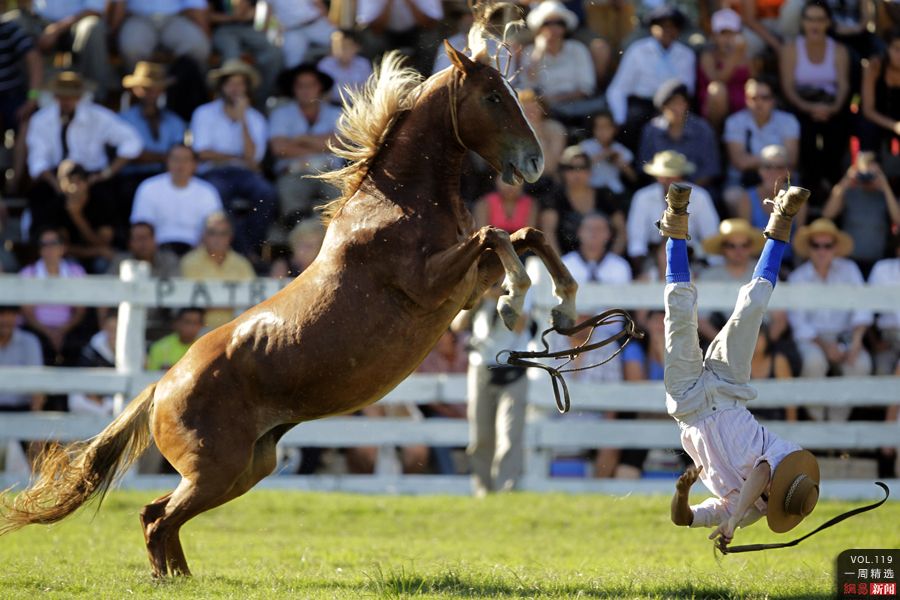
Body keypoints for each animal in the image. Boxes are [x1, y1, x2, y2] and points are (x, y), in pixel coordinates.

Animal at [0, 42, 576, 576]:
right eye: (492, 96)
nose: (534, 161)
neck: (396, 206)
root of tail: (160, 386)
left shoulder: (465, 288)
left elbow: (527, 234)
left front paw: (564, 308)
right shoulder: (430, 285)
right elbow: (496, 233)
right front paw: (516, 300)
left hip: (245, 468)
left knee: (158, 515)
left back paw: (181, 578)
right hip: (217, 469)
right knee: (158, 518)